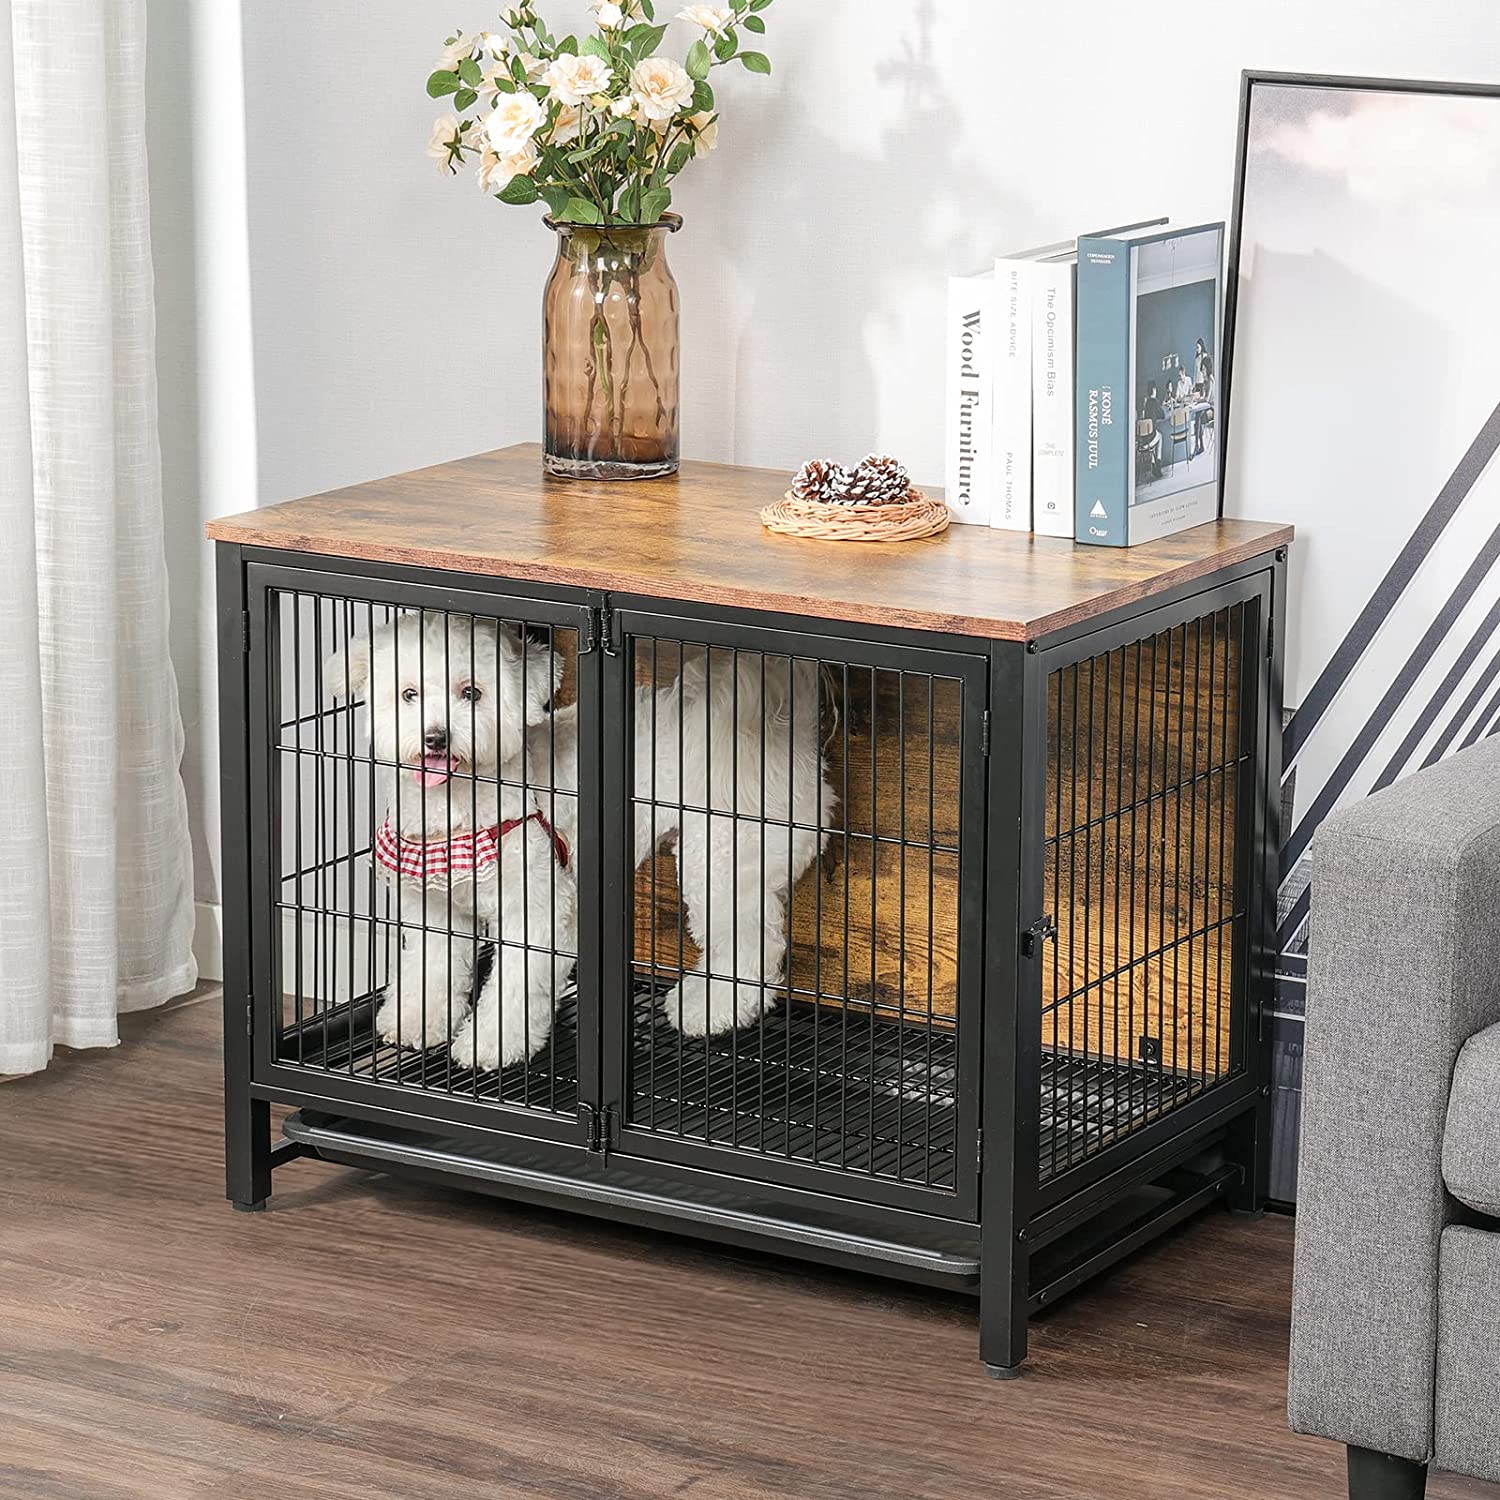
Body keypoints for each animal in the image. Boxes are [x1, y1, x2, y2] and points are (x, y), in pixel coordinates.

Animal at [330, 615, 840, 1074]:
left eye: (471, 693)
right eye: (408, 694)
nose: (435, 737)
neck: (460, 808)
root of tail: (772, 717)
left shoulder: (538, 911)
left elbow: (515, 985)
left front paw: (491, 1044)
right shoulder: (434, 909)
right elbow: (430, 968)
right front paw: (415, 1021)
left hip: (723, 852)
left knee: (752, 944)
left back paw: (710, 1008)